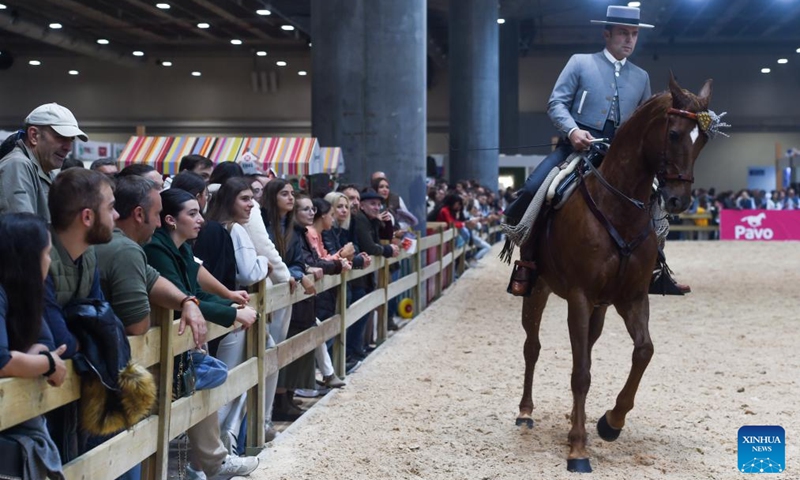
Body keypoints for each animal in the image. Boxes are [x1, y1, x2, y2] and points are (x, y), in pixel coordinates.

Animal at [520, 77, 720, 474]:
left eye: (703, 139)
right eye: (674, 133)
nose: (679, 200)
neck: (618, 207)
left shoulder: (632, 297)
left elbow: (643, 351)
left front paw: (610, 423)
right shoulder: (580, 296)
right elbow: (581, 372)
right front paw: (578, 450)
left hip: (599, 307)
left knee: (587, 346)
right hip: (537, 289)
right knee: (532, 348)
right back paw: (525, 413)